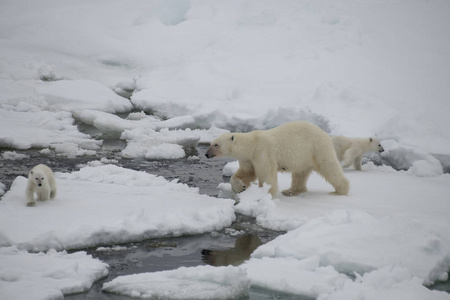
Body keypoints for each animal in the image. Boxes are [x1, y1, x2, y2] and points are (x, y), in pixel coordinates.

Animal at [206, 120, 350, 198]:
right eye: (210, 143)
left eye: (216, 144)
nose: (206, 154)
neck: (251, 144)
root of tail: (325, 134)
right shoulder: (248, 159)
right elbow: (247, 172)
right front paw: (240, 187)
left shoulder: (262, 152)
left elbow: (266, 173)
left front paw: (264, 192)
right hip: (304, 156)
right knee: (300, 173)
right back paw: (291, 191)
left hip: (317, 148)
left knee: (329, 167)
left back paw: (340, 190)